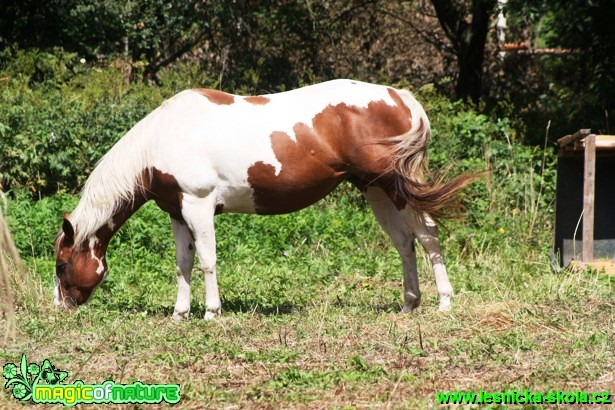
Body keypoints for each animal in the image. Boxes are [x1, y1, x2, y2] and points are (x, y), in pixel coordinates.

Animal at [55, 78, 474, 318]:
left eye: (61, 266)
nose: (62, 307)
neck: (163, 137)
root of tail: (401, 98)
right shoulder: (177, 212)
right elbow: (183, 264)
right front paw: (179, 313)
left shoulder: (199, 205)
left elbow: (207, 261)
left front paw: (211, 312)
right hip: (374, 189)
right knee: (404, 242)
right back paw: (408, 304)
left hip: (398, 186)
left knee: (427, 234)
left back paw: (444, 302)